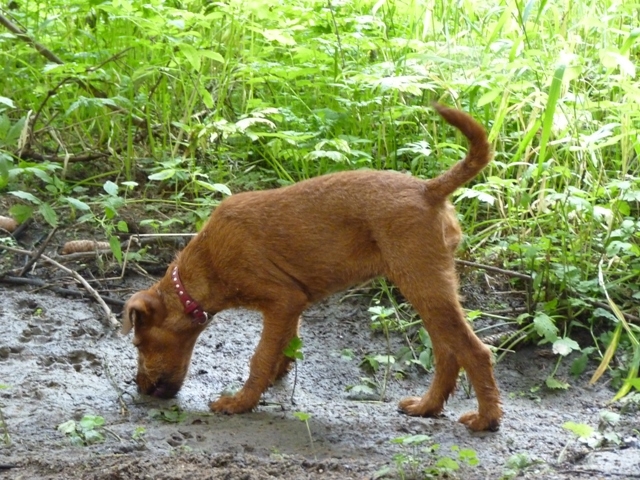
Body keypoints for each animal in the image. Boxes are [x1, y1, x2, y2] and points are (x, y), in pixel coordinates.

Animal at [122, 103, 502, 432]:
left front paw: (240, 402)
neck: (203, 266)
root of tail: (428, 189)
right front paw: (273, 379)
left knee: (475, 351)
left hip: (422, 282)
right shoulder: (293, 304)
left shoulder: (282, 299)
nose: (140, 388)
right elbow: (281, 349)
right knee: (448, 353)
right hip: (429, 284)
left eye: (139, 344)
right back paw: (427, 406)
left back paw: (485, 419)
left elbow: (259, 358)